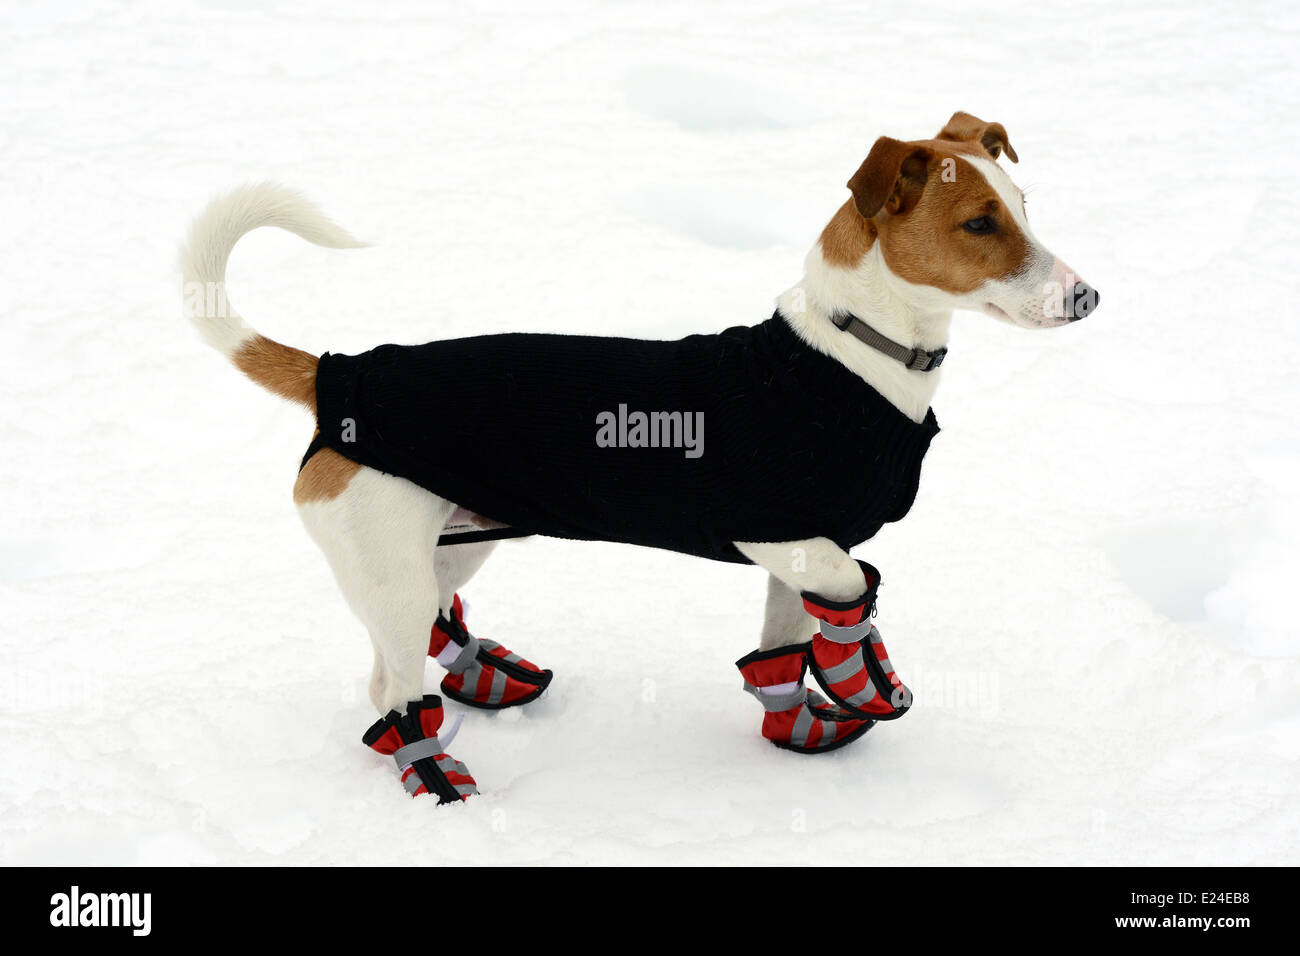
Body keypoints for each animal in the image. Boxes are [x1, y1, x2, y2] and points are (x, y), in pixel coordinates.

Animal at [183, 110, 1097, 801]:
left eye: (1025, 205)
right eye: (978, 223)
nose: (1087, 298)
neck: (851, 357)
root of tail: (339, 375)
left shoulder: (796, 551)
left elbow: (785, 642)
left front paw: (799, 719)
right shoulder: (781, 534)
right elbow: (850, 591)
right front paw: (863, 675)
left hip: (450, 540)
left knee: (419, 635)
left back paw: (483, 677)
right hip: (391, 562)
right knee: (392, 688)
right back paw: (436, 774)